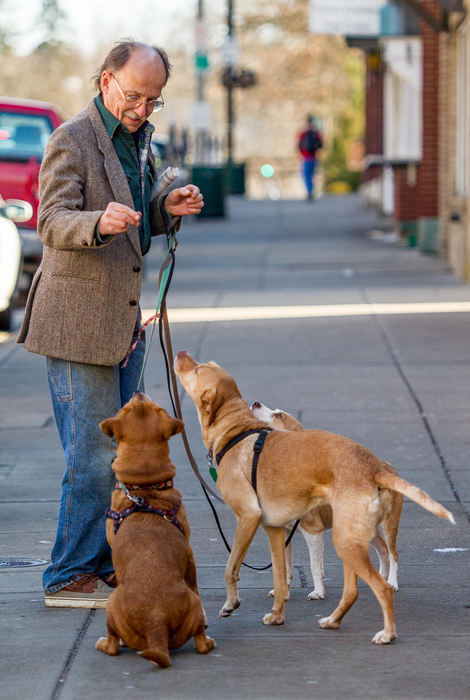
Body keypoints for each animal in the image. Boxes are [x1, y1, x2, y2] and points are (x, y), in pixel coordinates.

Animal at [95, 394, 217, 668]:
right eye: (158, 409)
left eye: (125, 407)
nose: (138, 394)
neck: (144, 489)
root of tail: (156, 622)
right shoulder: (189, 554)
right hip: (189, 606)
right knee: (200, 641)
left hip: (110, 606)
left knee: (112, 645)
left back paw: (104, 643)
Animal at [252, 402, 402, 600]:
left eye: (279, 415)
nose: (255, 403)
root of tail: (384, 466)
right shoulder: (283, 532)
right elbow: (284, 566)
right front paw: (282, 591)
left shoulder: (313, 531)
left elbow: (315, 566)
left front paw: (318, 592)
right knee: (383, 549)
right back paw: (381, 579)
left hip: (389, 523)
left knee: (393, 553)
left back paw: (392, 583)